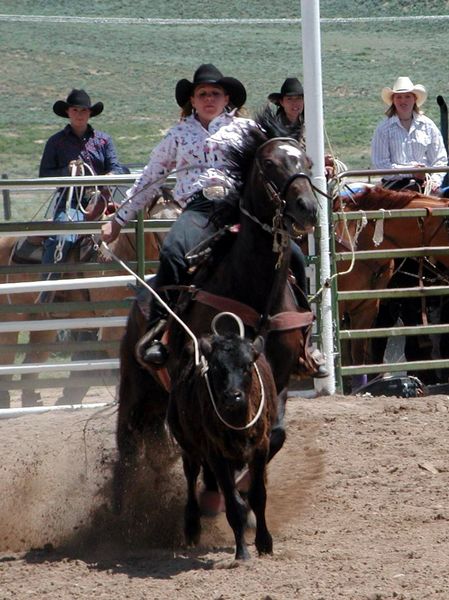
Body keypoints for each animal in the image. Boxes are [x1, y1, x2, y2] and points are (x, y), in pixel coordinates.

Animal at [114, 108, 320, 516]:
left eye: (305, 161)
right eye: (270, 164)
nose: (307, 208)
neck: (255, 296)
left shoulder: (280, 379)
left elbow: (274, 434)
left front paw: (242, 483)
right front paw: (219, 491)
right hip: (135, 390)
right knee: (127, 447)